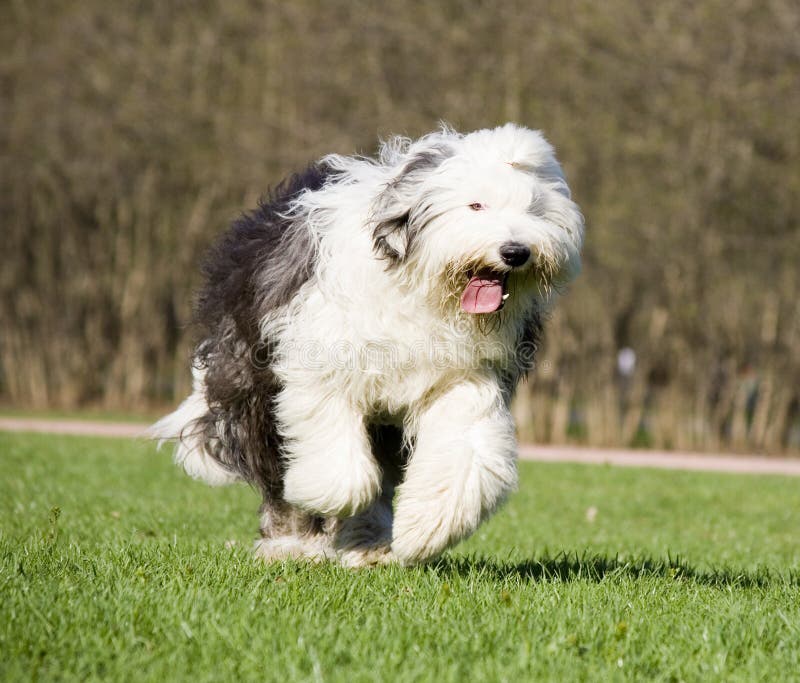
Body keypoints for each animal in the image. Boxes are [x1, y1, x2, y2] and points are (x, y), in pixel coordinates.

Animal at [153, 121, 584, 568]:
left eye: (535, 209)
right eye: (476, 205)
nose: (515, 252)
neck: (421, 290)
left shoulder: (463, 378)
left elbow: (465, 454)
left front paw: (427, 529)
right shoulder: (323, 364)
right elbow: (338, 471)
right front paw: (328, 500)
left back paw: (369, 545)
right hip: (252, 384)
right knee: (277, 471)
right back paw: (292, 543)